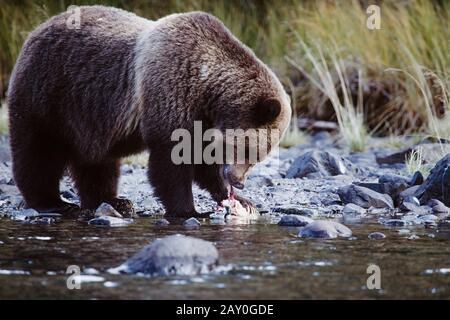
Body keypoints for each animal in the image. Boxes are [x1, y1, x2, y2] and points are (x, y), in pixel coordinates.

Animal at [7, 5, 292, 218]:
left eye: (259, 156)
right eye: (250, 150)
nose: (239, 181)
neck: (208, 89)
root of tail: (36, 29)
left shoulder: (202, 119)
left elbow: (203, 162)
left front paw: (241, 200)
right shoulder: (171, 90)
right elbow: (171, 161)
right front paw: (188, 210)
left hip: (90, 116)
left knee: (96, 161)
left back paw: (114, 201)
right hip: (47, 93)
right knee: (38, 151)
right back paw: (51, 202)